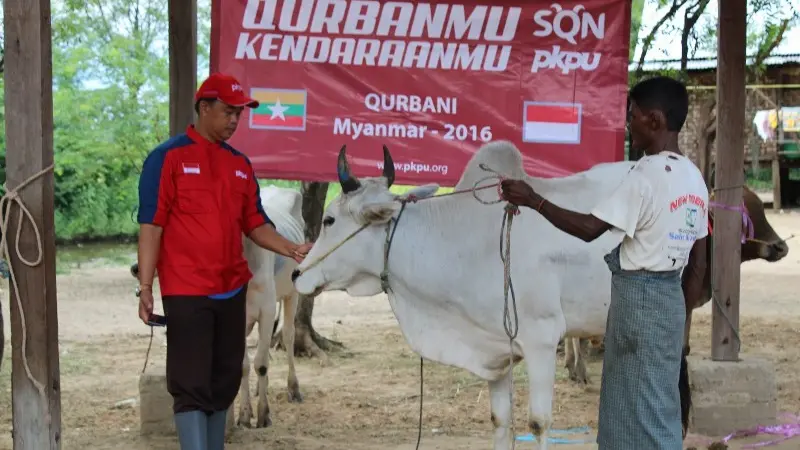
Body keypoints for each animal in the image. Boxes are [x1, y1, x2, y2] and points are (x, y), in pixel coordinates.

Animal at [290, 142, 636, 448]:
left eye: (329, 220)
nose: (297, 274)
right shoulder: (497, 348)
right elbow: (500, 420)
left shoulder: (542, 339)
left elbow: (538, 424)